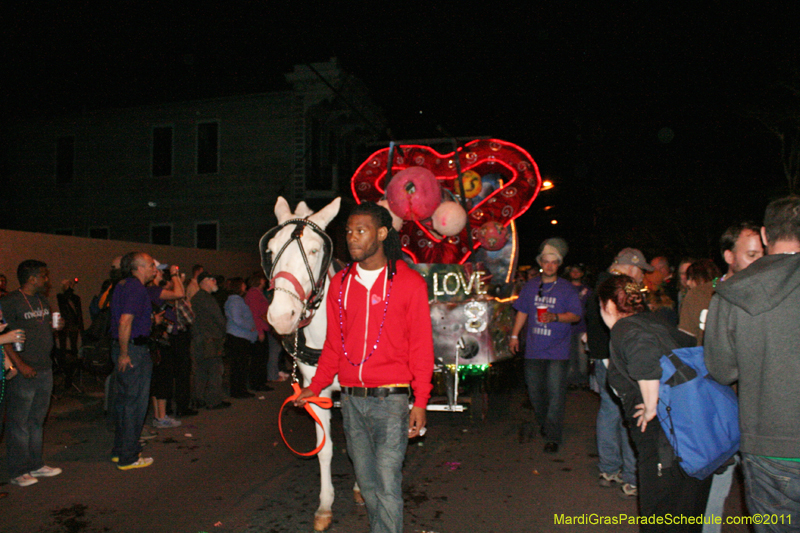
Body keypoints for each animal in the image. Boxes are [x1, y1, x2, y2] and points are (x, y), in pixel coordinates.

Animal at [262, 195, 362, 532]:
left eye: (316, 250)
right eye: (271, 250)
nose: (281, 317)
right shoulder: (316, 393)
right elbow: (325, 449)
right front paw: (325, 506)